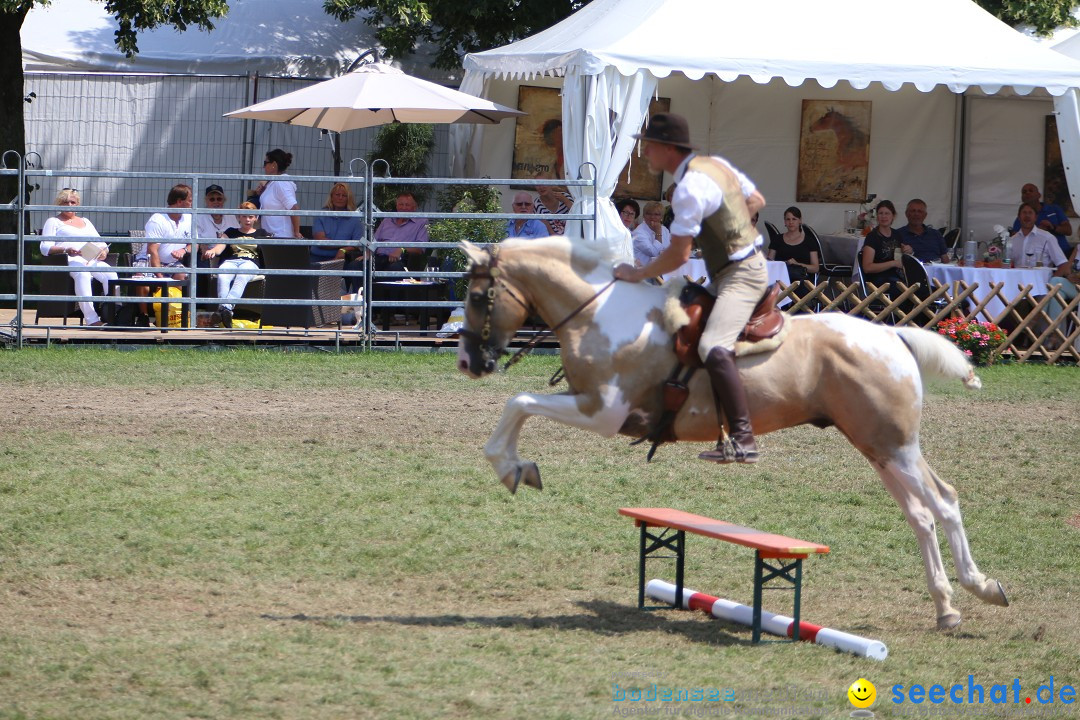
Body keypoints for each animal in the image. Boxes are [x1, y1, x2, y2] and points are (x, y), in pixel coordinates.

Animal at [457, 237, 1010, 630]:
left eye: (479, 296)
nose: (467, 363)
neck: (602, 313)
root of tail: (892, 334)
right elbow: (519, 405)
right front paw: (515, 467)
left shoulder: (603, 412)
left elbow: (518, 402)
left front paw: (511, 467)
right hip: (877, 446)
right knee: (921, 514)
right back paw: (947, 606)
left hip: (894, 446)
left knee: (943, 503)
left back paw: (979, 588)